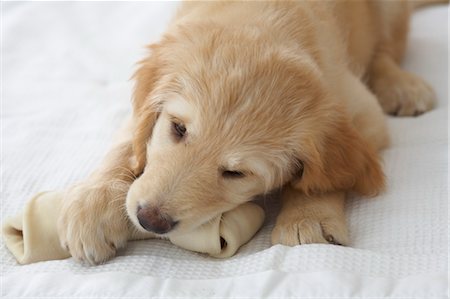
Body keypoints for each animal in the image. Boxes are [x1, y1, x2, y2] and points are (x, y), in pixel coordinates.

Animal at [55, 1, 440, 266]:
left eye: (236, 173)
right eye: (177, 129)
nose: (150, 219)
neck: (261, 21)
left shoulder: (362, 111)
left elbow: (323, 178)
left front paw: (308, 217)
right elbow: (127, 143)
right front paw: (94, 205)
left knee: (386, 51)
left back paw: (401, 85)